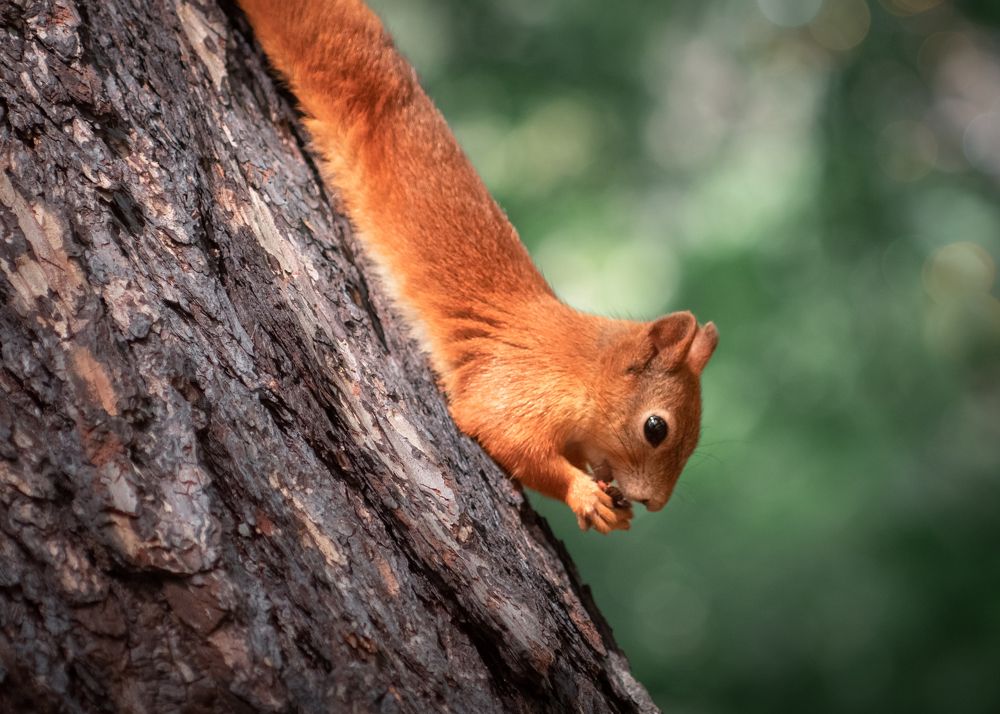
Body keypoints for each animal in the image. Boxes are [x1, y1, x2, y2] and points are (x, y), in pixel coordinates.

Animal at [236, 0, 718, 534]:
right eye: (656, 427)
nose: (656, 503)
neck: (583, 369)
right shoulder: (517, 385)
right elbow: (503, 435)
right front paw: (585, 495)